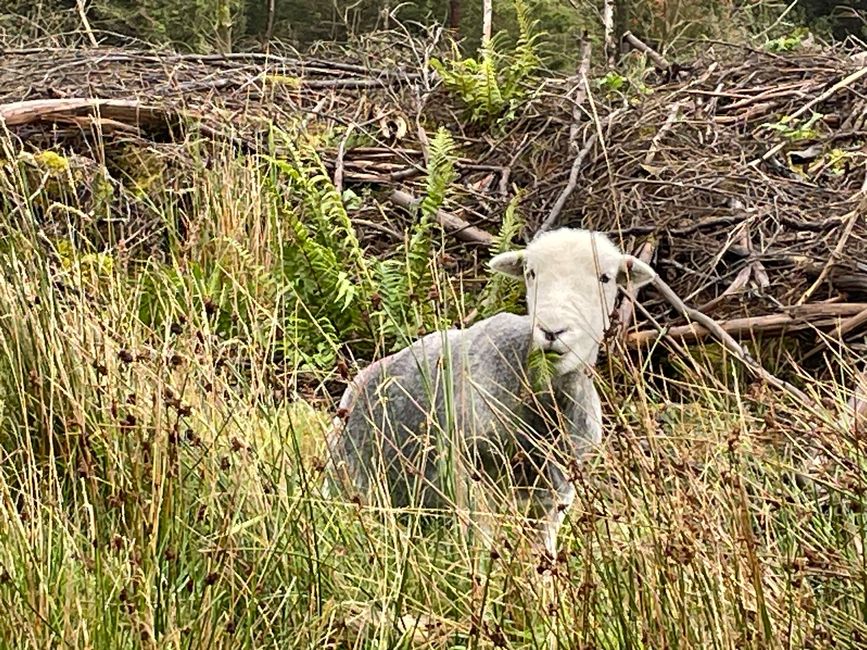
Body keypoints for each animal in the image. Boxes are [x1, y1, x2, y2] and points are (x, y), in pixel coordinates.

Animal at [328, 228, 656, 552]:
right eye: (531, 273)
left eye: (606, 278)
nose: (552, 331)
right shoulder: (465, 469)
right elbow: (480, 541)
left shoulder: (559, 487)